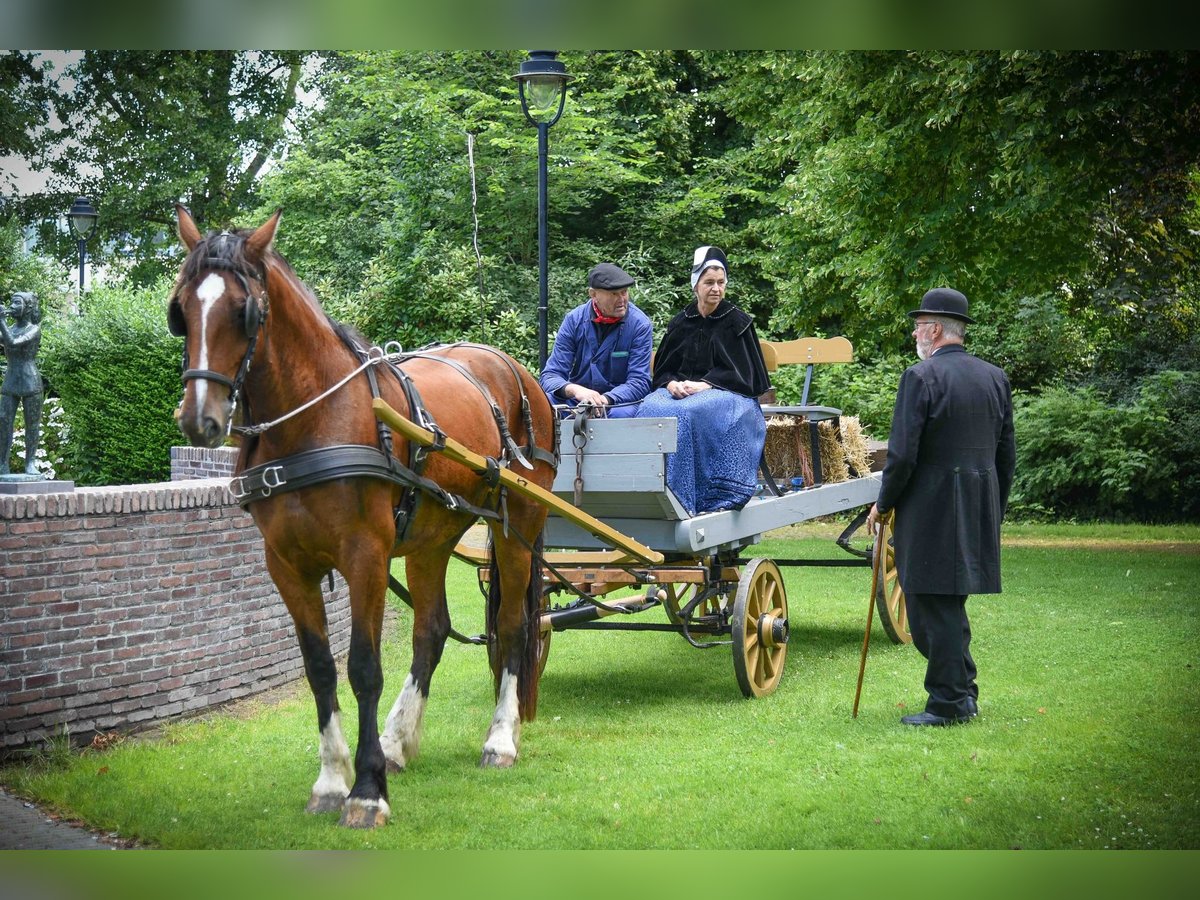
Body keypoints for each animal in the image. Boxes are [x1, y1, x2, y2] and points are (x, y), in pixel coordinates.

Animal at [168, 206, 556, 830]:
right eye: (181, 311)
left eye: (245, 311)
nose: (198, 420)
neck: (314, 419)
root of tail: (518, 372)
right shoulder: (286, 565)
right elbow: (320, 668)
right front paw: (333, 779)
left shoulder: (365, 557)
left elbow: (363, 668)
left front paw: (368, 790)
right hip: (431, 536)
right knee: (431, 630)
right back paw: (399, 739)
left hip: (517, 524)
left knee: (515, 625)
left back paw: (499, 739)